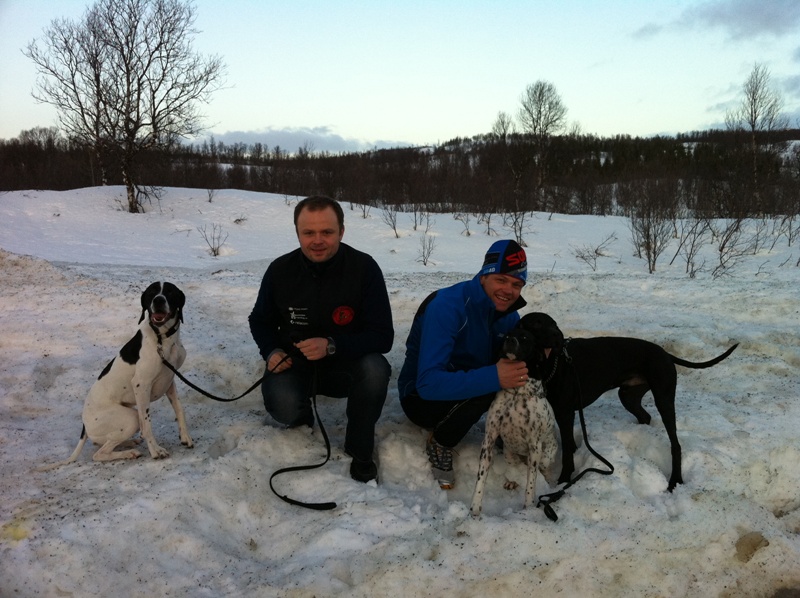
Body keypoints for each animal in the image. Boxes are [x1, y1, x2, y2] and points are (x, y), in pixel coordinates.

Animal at [40, 284, 192, 472]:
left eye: (170, 291)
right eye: (151, 292)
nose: (158, 300)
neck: (162, 339)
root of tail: (84, 426)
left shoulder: (170, 381)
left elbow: (179, 409)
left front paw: (185, 437)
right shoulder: (141, 385)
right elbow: (147, 425)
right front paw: (155, 451)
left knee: (103, 444)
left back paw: (129, 443)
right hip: (130, 418)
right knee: (100, 453)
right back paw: (129, 452)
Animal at [468, 326, 556, 516]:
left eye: (525, 337)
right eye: (507, 335)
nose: (510, 341)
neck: (517, 393)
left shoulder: (534, 447)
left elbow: (531, 484)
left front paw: (528, 508)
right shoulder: (489, 440)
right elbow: (481, 479)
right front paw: (474, 509)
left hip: (547, 453)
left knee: (545, 466)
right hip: (509, 450)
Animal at [512, 314, 736, 492]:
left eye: (554, 324)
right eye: (537, 323)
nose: (558, 337)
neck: (551, 364)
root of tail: (665, 354)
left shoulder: (565, 412)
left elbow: (567, 451)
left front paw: (565, 478)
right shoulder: (564, 413)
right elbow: (569, 443)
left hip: (663, 399)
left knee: (676, 444)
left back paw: (675, 481)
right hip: (628, 396)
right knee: (645, 416)